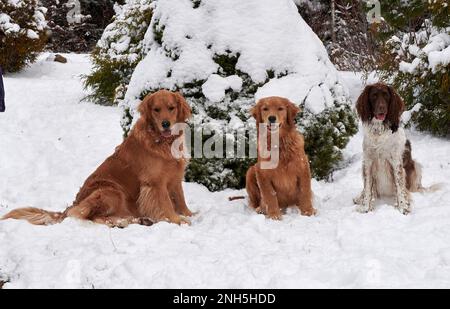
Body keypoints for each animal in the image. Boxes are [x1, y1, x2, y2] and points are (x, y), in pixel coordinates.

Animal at [2, 89, 194, 226]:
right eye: (156, 110)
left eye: (171, 108)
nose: (166, 124)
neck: (163, 142)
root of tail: (72, 205)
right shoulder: (154, 183)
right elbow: (166, 204)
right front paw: (177, 220)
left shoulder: (175, 178)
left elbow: (181, 199)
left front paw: (190, 214)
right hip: (111, 191)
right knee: (91, 216)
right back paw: (123, 221)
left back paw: (139, 219)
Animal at [354, 83, 424, 215]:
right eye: (374, 96)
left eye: (386, 96)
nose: (382, 108)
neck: (379, 130)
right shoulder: (368, 161)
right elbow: (367, 188)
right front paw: (366, 207)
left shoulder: (396, 162)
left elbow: (399, 186)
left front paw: (403, 208)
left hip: (415, 165)